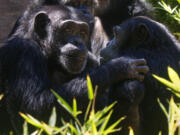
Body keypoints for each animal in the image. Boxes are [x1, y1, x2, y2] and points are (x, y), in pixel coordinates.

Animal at [0, 1, 150, 134]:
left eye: (82, 32)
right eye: (68, 29)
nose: (77, 41)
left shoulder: (89, 58)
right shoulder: (24, 52)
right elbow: (34, 106)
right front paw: (119, 67)